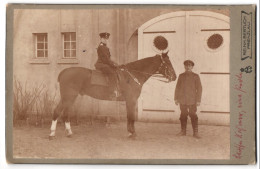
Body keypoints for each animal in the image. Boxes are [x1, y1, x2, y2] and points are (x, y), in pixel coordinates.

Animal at [48, 51, 177, 139]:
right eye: (168, 63)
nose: (175, 77)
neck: (132, 75)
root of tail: (64, 71)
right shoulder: (131, 100)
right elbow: (131, 116)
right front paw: (133, 133)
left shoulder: (129, 101)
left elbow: (129, 116)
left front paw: (130, 132)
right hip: (68, 97)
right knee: (58, 111)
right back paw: (52, 134)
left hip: (69, 98)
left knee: (64, 113)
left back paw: (68, 133)